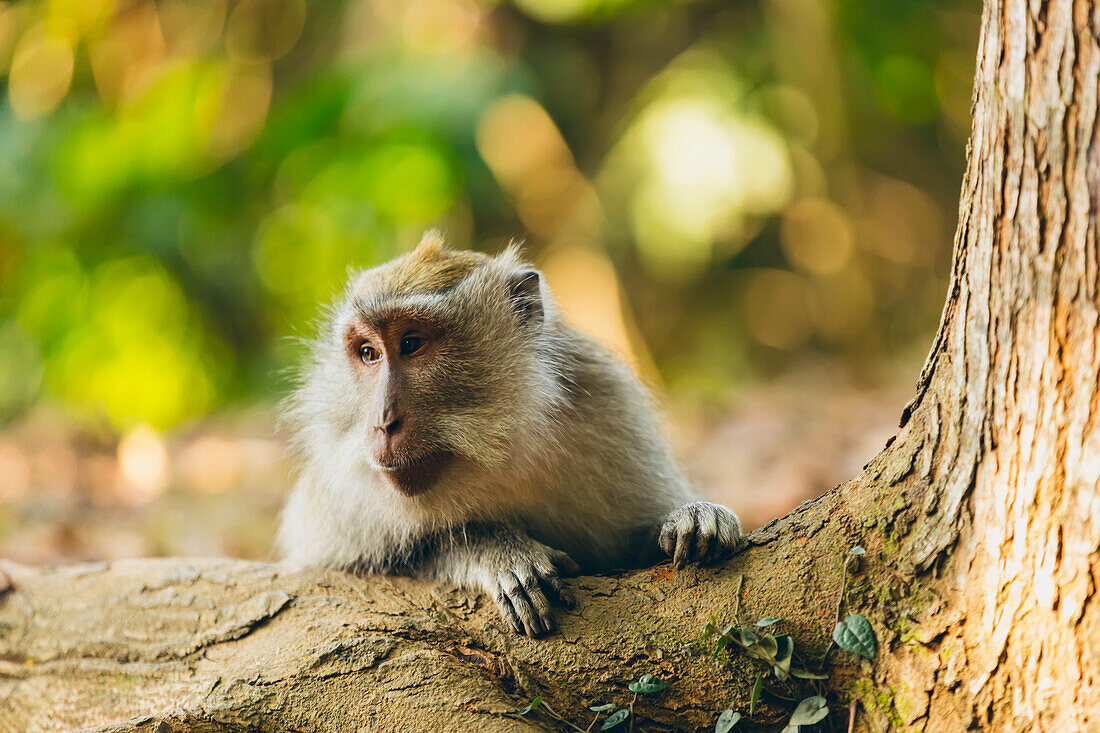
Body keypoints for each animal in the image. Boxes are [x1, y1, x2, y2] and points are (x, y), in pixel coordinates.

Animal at [275, 232, 743, 633]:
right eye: (368, 353)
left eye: (411, 344)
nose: (383, 422)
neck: (498, 447)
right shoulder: (340, 497)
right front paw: (496, 549)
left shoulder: (608, 406)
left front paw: (690, 517)